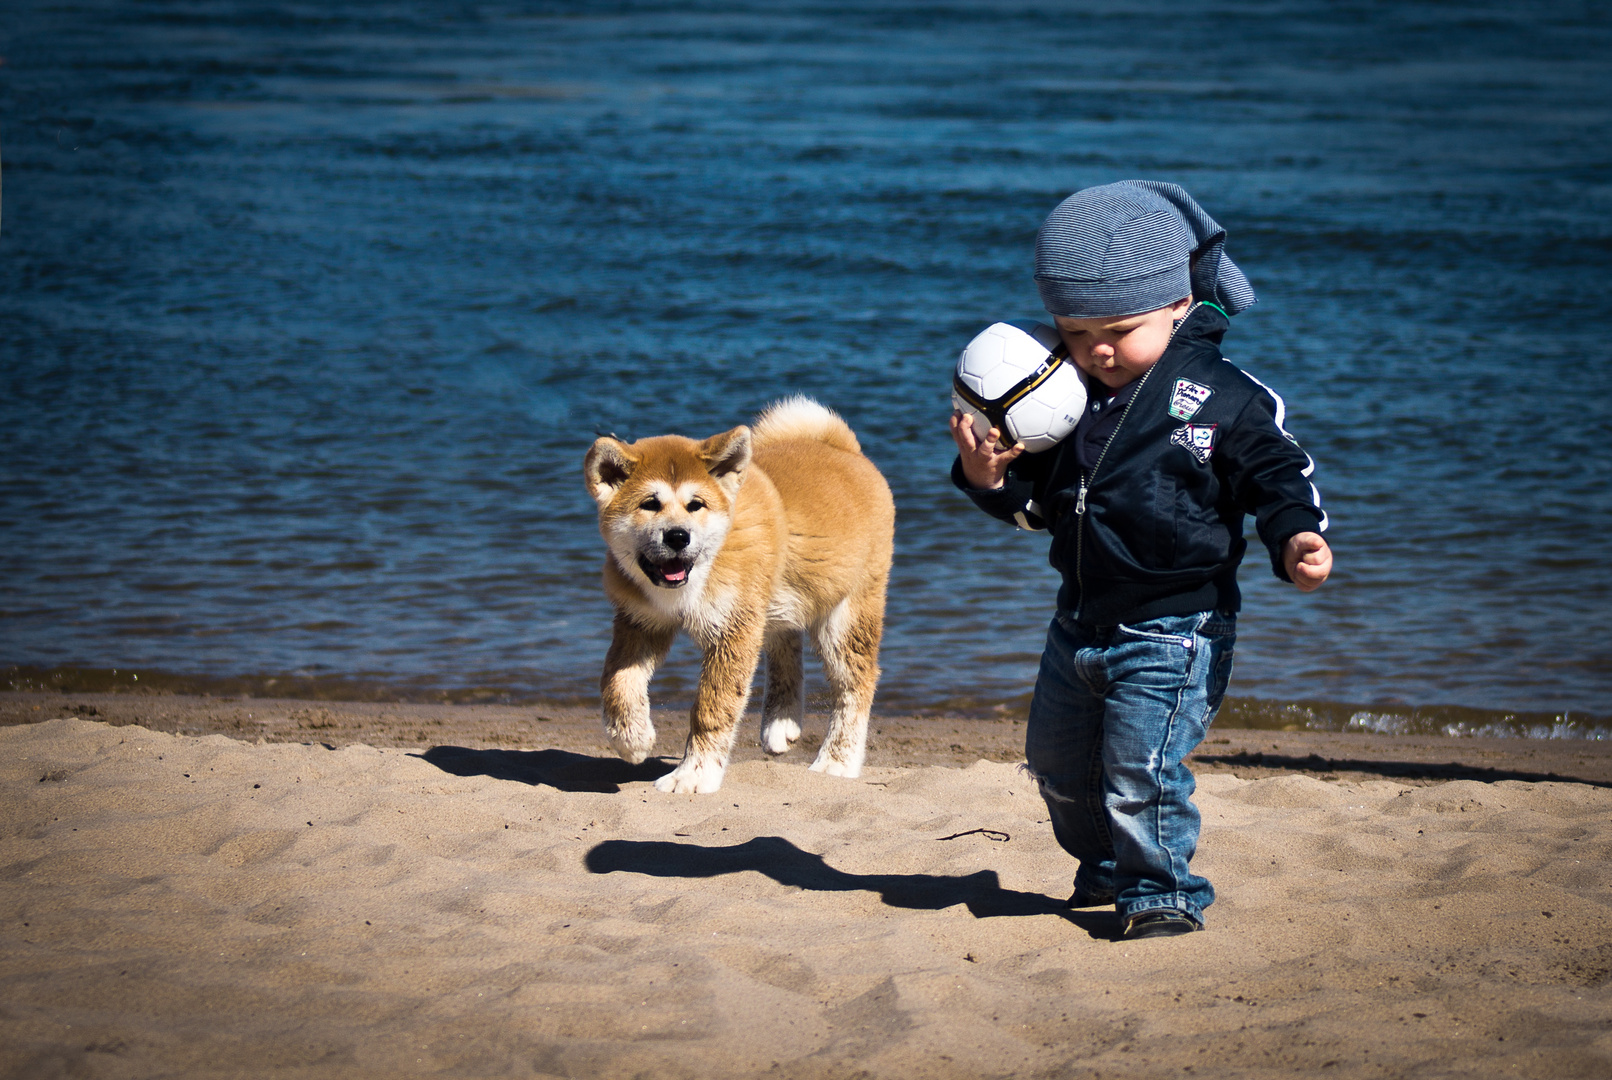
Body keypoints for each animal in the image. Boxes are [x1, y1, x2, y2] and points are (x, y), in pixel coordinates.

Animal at [586, 398, 902, 796]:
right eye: (649, 504)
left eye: (696, 504)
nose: (677, 536)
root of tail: (844, 450)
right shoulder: (640, 621)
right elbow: (616, 681)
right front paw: (631, 736)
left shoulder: (732, 630)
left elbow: (712, 707)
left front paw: (694, 774)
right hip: (777, 599)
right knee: (785, 647)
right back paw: (781, 721)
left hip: (843, 616)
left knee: (855, 684)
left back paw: (837, 761)